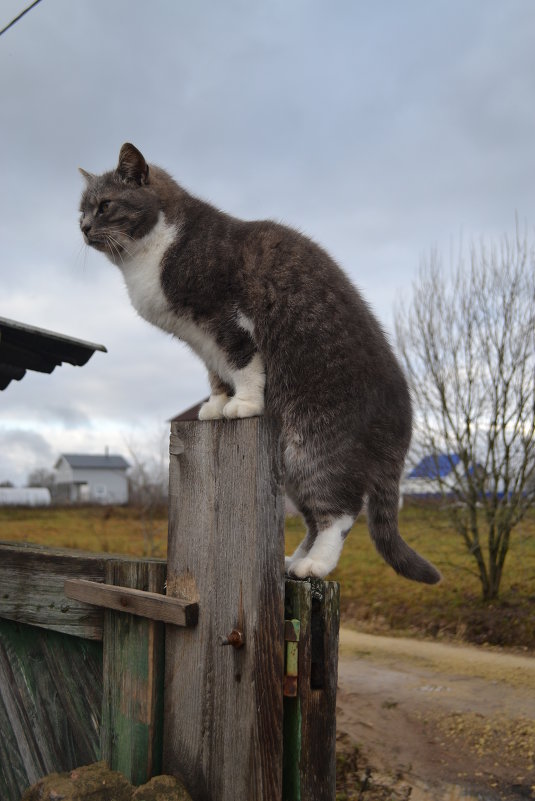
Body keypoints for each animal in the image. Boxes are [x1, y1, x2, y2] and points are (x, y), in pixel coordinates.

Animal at [78, 142, 440, 580]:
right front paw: (215, 405)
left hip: (315, 445)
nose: (82, 227)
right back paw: (294, 560)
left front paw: (245, 405)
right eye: (80, 209)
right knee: (312, 517)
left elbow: (243, 365)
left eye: (105, 205)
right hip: (290, 467)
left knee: (339, 510)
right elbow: (218, 375)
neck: (151, 252)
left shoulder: (227, 319)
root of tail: (403, 421)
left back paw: (316, 564)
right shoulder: (201, 341)